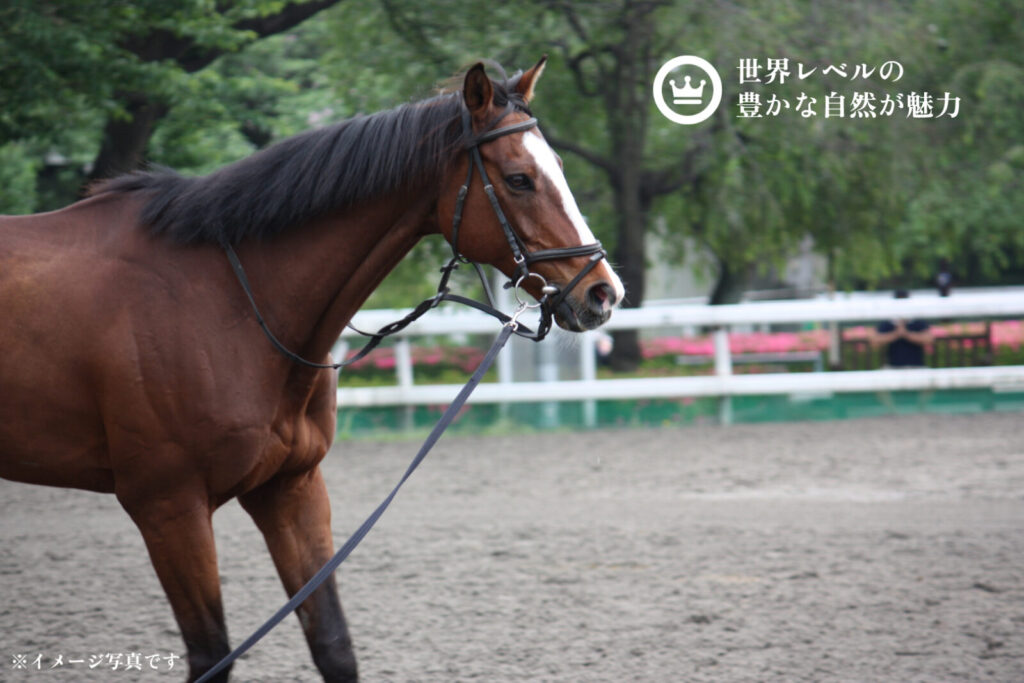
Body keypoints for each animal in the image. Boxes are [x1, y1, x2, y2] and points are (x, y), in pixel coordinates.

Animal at [0, 60, 622, 683]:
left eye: (559, 167)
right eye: (519, 179)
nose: (603, 292)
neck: (228, 301)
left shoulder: (291, 490)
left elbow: (332, 644)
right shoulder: (168, 508)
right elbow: (211, 653)